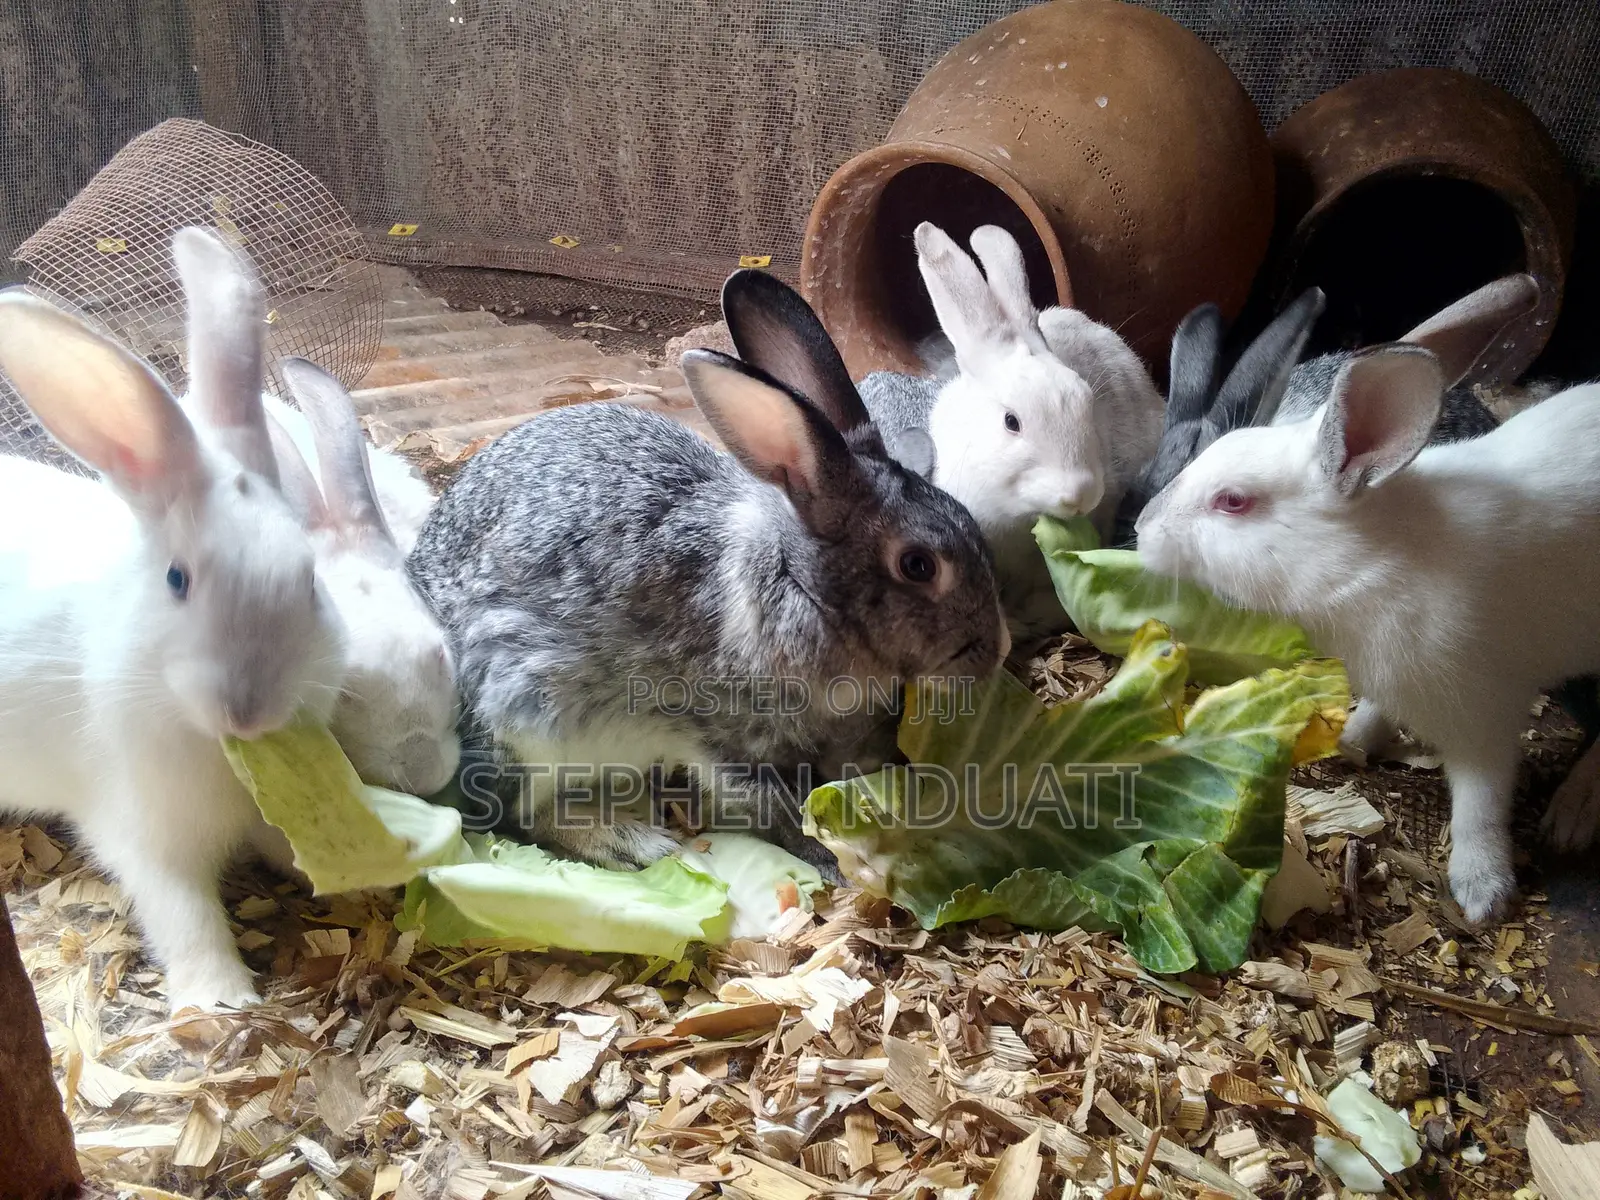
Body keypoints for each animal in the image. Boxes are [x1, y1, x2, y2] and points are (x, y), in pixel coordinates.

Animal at [0, 227, 344, 1011]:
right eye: (177, 580)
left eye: (310, 580)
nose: (249, 712)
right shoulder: (143, 836)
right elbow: (185, 912)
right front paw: (222, 999)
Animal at [408, 268, 1008, 874]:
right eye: (918, 565)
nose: (998, 649)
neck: (798, 587)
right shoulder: (721, 737)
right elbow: (770, 803)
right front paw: (828, 856)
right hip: (526, 720)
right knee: (520, 814)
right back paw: (631, 841)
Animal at [1134, 337, 1600, 925]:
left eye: (1233, 502)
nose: (1141, 527)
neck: (1372, 563)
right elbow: (1379, 709)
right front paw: (1352, 740)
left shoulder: (1484, 714)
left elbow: (1481, 804)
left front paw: (1482, 891)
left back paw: (1573, 815)